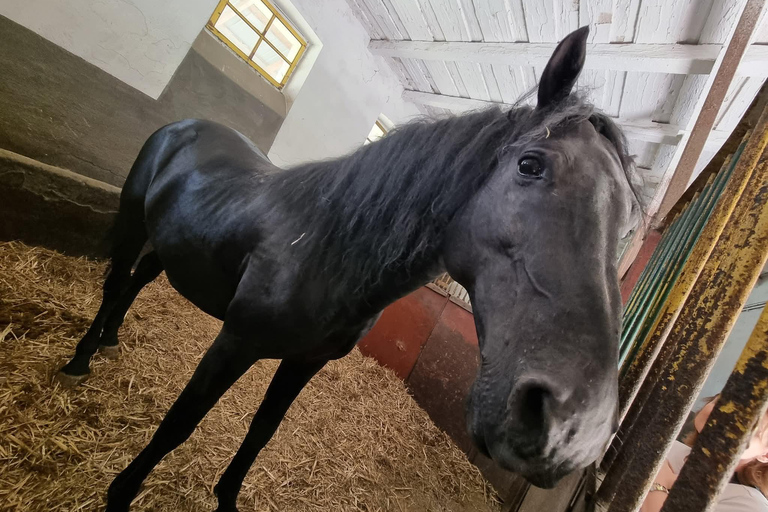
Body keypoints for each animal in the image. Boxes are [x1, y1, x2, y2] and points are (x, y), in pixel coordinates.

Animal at [55, 26, 640, 511]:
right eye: (529, 165)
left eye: (625, 220)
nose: (574, 431)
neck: (327, 250)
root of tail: (184, 126)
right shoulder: (235, 342)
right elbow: (180, 423)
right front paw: (120, 495)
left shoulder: (304, 363)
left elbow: (262, 432)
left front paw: (226, 499)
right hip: (134, 223)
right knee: (115, 284)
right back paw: (80, 360)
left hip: (171, 244)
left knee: (137, 282)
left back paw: (110, 341)